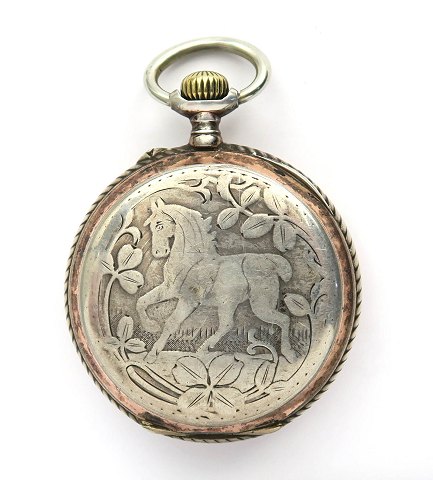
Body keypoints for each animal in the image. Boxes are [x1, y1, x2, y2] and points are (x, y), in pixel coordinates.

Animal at [136, 198, 296, 363]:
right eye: (151, 226)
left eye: (159, 225)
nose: (158, 252)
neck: (192, 260)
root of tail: (270, 261)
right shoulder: (169, 289)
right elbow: (141, 301)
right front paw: (151, 326)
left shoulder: (189, 300)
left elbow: (171, 323)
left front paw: (152, 354)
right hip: (228, 304)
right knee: (227, 324)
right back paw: (203, 348)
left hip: (259, 305)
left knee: (283, 319)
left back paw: (289, 354)